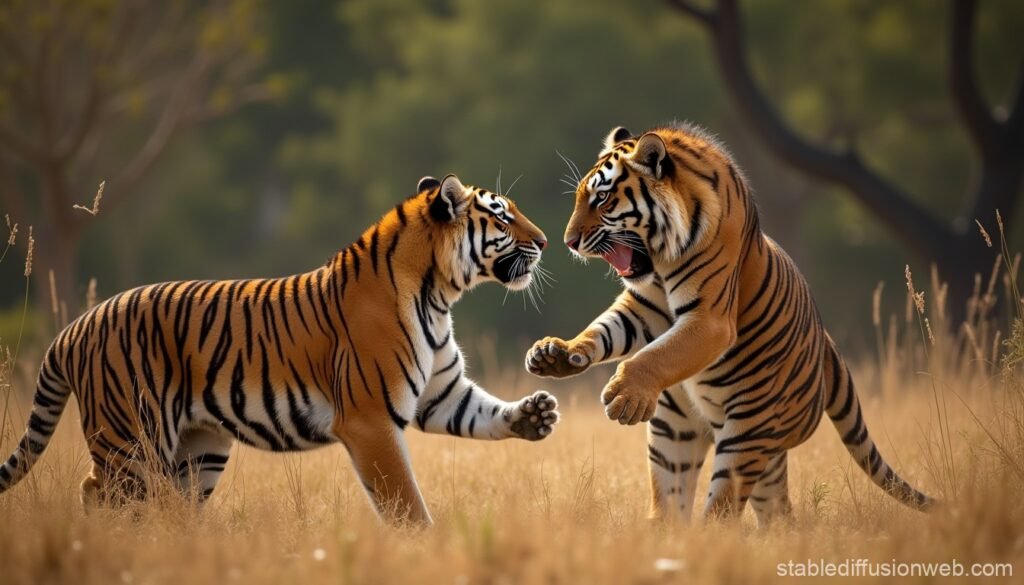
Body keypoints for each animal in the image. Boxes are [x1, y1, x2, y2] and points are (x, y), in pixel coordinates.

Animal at [0, 173, 558, 525]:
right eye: (503, 219)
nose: (547, 241)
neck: (439, 292)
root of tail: (75, 326)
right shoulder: (370, 418)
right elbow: (405, 502)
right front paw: (423, 549)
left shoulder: (441, 393)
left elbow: (482, 412)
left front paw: (535, 414)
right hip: (130, 439)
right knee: (99, 493)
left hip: (197, 451)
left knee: (166, 507)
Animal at [526, 123, 933, 524]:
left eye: (603, 199)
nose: (569, 242)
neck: (662, 258)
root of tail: (826, 347)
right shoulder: (643, 306)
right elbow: (606, 329)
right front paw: (556, 354)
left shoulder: (710, 320)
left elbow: (654, 356)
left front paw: (625, 396)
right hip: (678, 434)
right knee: (742, 508)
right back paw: (664, 533)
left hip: (747, 434)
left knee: (722, 511)